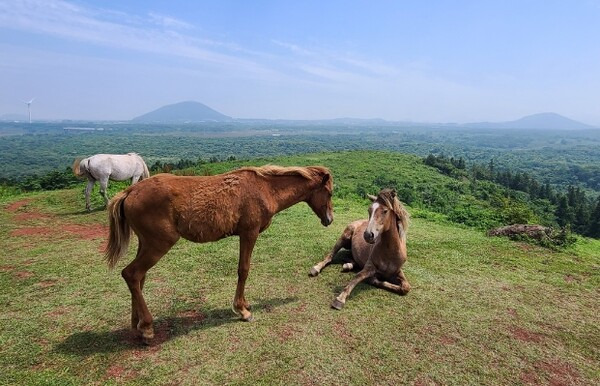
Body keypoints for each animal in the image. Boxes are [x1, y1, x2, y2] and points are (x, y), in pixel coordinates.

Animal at [105, 164, 336, 342]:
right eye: (330, 193)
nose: (329, 220)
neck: (265, 188)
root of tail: (129, 192)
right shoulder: (249, 234)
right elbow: (243, 270)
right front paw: (242, 310)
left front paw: (245, 304)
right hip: (158, 244)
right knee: (131, 274)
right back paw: (147, 327)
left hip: (145, 244)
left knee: (138, 278)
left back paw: (137, 325)